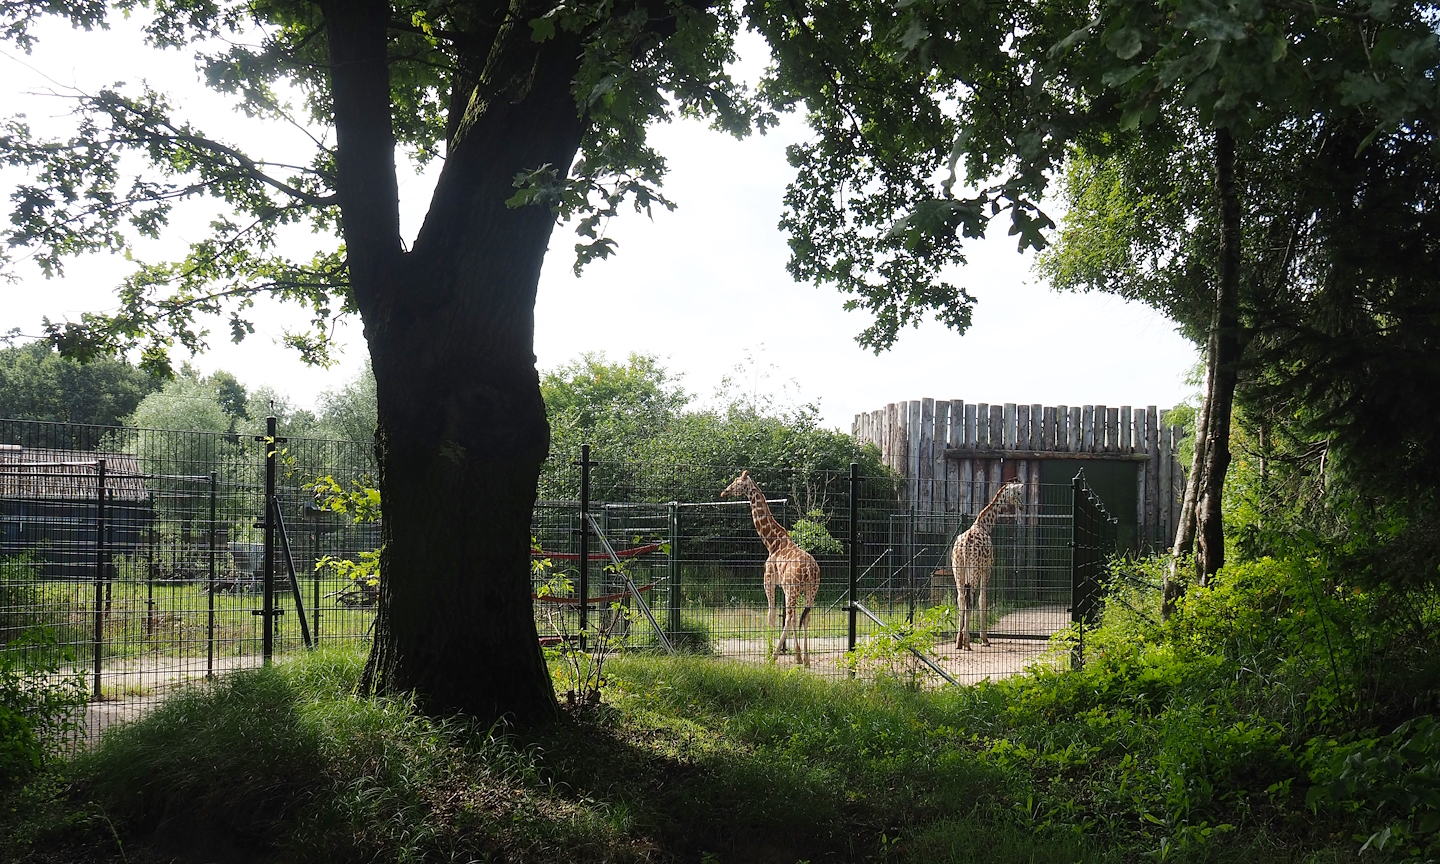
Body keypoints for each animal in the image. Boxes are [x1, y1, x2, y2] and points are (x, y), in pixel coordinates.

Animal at [722, 470, 821, 666]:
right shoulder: (784, 587)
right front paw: (798, 656)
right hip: (810, 590)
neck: (772, 543)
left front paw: (768, 650)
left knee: (789, 617)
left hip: (794, 589)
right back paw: (806, 659)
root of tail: (811, 570)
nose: (724, 492)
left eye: (737, 482)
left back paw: (774, 655)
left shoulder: (768, 581)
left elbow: (771, 615)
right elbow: (794, 618)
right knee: (804, 617)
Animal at [950, 478, 1024, 650]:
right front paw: (984, 639)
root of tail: (964, 546)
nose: (1022, 507)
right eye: (1018, 493)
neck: (984, 524)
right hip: (974, 570)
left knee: (961, 598)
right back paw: (967, 643)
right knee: (969, 598)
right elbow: (982, 599)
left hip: (958, 569)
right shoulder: (987, 568)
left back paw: (959, 642)